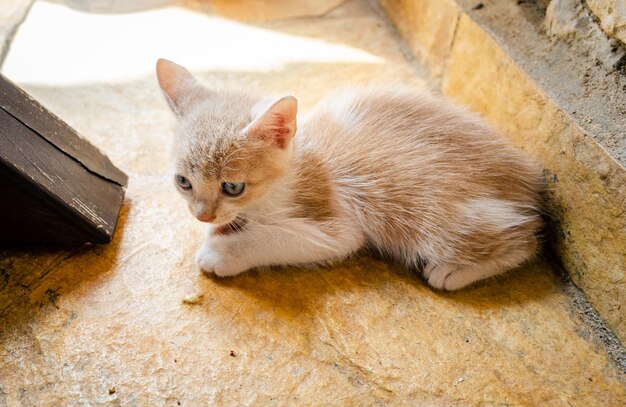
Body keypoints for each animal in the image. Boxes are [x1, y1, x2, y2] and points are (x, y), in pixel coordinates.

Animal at [155, 59, 540, 292]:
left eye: (232, 186)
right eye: (183, 182)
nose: (202, 214)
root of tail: (526, 181)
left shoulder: (337, 225)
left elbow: (279, 237)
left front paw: (223, 251)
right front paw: (223, 228)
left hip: (433, 215)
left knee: (528, 240)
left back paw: (454, 271)